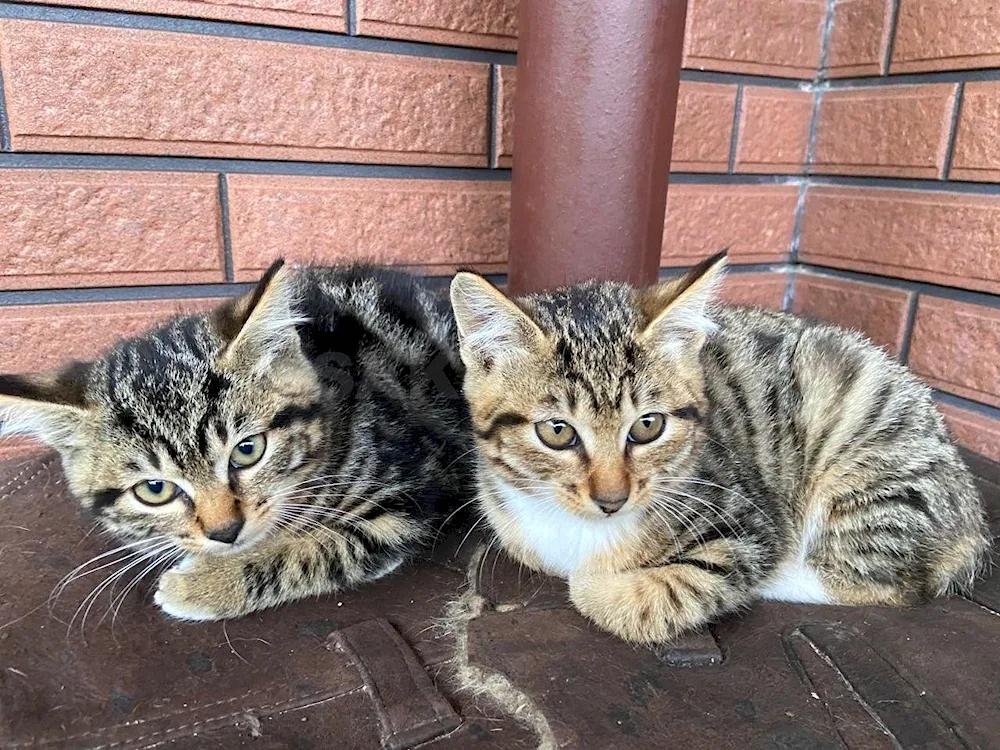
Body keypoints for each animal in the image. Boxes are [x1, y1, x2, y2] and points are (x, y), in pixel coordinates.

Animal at [0, 264, 474, 624]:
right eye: (154, 489)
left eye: (248, 451)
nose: (225, 532)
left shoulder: (416, 487)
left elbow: (315, 549)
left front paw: (200, 584)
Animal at [452, 253, 992, 648]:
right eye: (558, 432)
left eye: (647, 426)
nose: (612, 499)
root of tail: (972, 516)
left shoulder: (747, 519)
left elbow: (686, 585)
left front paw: (598, 586)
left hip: (875, 471)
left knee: (889, 582)